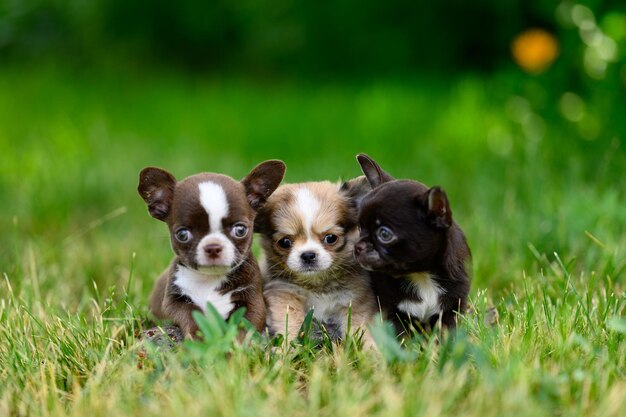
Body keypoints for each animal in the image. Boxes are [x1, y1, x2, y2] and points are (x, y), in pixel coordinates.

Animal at [137, 160, 286, 338]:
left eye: (240, 230)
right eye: (182, 234)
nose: (213, 247)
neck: (209, 279)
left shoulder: (253, 301)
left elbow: (245, 324)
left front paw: (236, 343)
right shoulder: (173, 302)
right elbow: (190, 315)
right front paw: (200, 338)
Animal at [254, 179, 376, 344]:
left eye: (331, 238)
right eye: (284, 242)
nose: (308, 255)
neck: (317, 285)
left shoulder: (355, 301)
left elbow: (359, 329)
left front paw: (368, 349)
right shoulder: (284, 294)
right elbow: (290, 324)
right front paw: (286, 347)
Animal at [354, 154, 470, 334]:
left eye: (384, 234)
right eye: (359, 228)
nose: (357, 247)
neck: (422, 275)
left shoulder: (451, 309)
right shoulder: (392, 313)